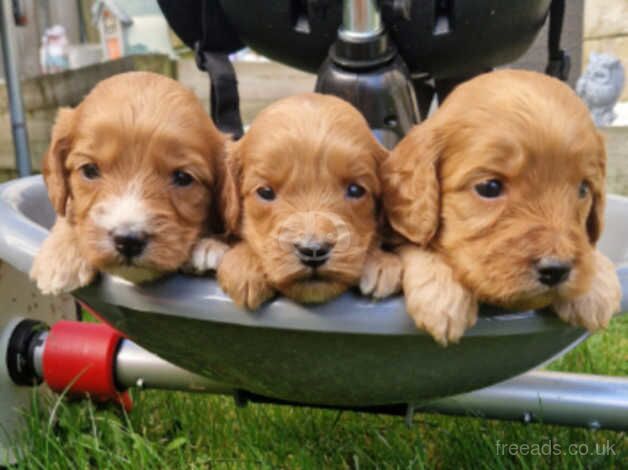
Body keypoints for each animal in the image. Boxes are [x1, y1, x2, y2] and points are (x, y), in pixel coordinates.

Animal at [30, 72, 231, 294]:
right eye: (90, 170)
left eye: (183, 178)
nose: (128, 241)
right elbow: (67, 212)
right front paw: (60, 257)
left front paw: (211, 246)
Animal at [386, 70, 620, 346]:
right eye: (489, 187)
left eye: (583, 189)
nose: (556, 270)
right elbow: (415, 244)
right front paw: (442, 294)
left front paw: (597, 285)